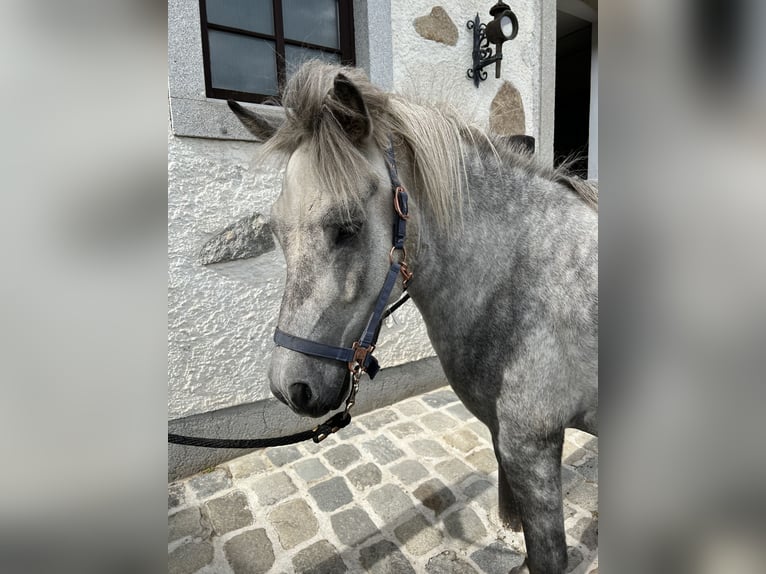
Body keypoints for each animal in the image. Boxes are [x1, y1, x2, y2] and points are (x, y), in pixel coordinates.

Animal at [230, 63, 600, 574]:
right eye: (276, 232)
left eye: (348, 228)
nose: (291, 388)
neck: (527, 273)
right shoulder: (507, 442)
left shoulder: (534, 449)